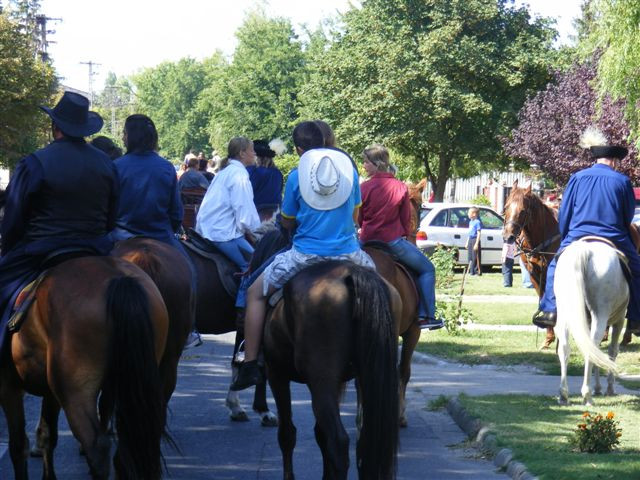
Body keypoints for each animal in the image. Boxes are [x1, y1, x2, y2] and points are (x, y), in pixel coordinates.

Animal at [0, 256, 169, 480]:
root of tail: (118, 278)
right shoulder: (49, 393)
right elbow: (47, 436)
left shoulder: (9, 388)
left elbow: (18, 446)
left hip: (75, 392)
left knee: (97, 447)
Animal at [262, 260, 398, 478]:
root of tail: (352, 273)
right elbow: (320, 435)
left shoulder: (276, 374)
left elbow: (287, 434)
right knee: (366, 441)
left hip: (320, 382)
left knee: (338, 442)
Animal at [502, 182, 556, 346]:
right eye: (506, 207)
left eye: (523, 211)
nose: (508, 237)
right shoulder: (534, 275)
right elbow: (543, 298)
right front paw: (549, 337)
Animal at [556, 239, 628, 404]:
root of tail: (585, 250)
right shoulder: (619, 320)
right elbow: (611, 351)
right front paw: (608, 388)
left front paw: (598, 388)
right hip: (600, 314)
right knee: (591, 347)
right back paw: (587, 394)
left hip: (565, 314)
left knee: (565, 347)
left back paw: (564, 395)